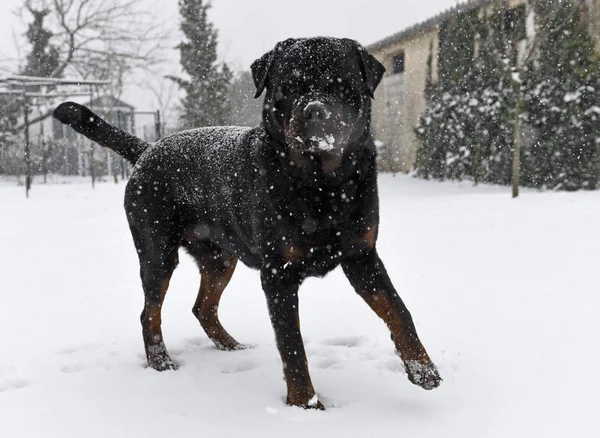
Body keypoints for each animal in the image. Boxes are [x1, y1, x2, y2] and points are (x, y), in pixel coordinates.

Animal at [52, 36, 440, 408]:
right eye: (289, 87)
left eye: (341, 86)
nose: (315, 111)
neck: (321, 185)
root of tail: (147, 148)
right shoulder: (278, 274)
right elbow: (292, 345)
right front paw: (305, 404)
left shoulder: (362, 256)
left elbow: (399, 310)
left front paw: (423, 369)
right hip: (156, 251)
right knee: (150, 312)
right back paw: (161, 361)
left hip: (220, 257)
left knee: (202, 307)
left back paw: (231, 346)